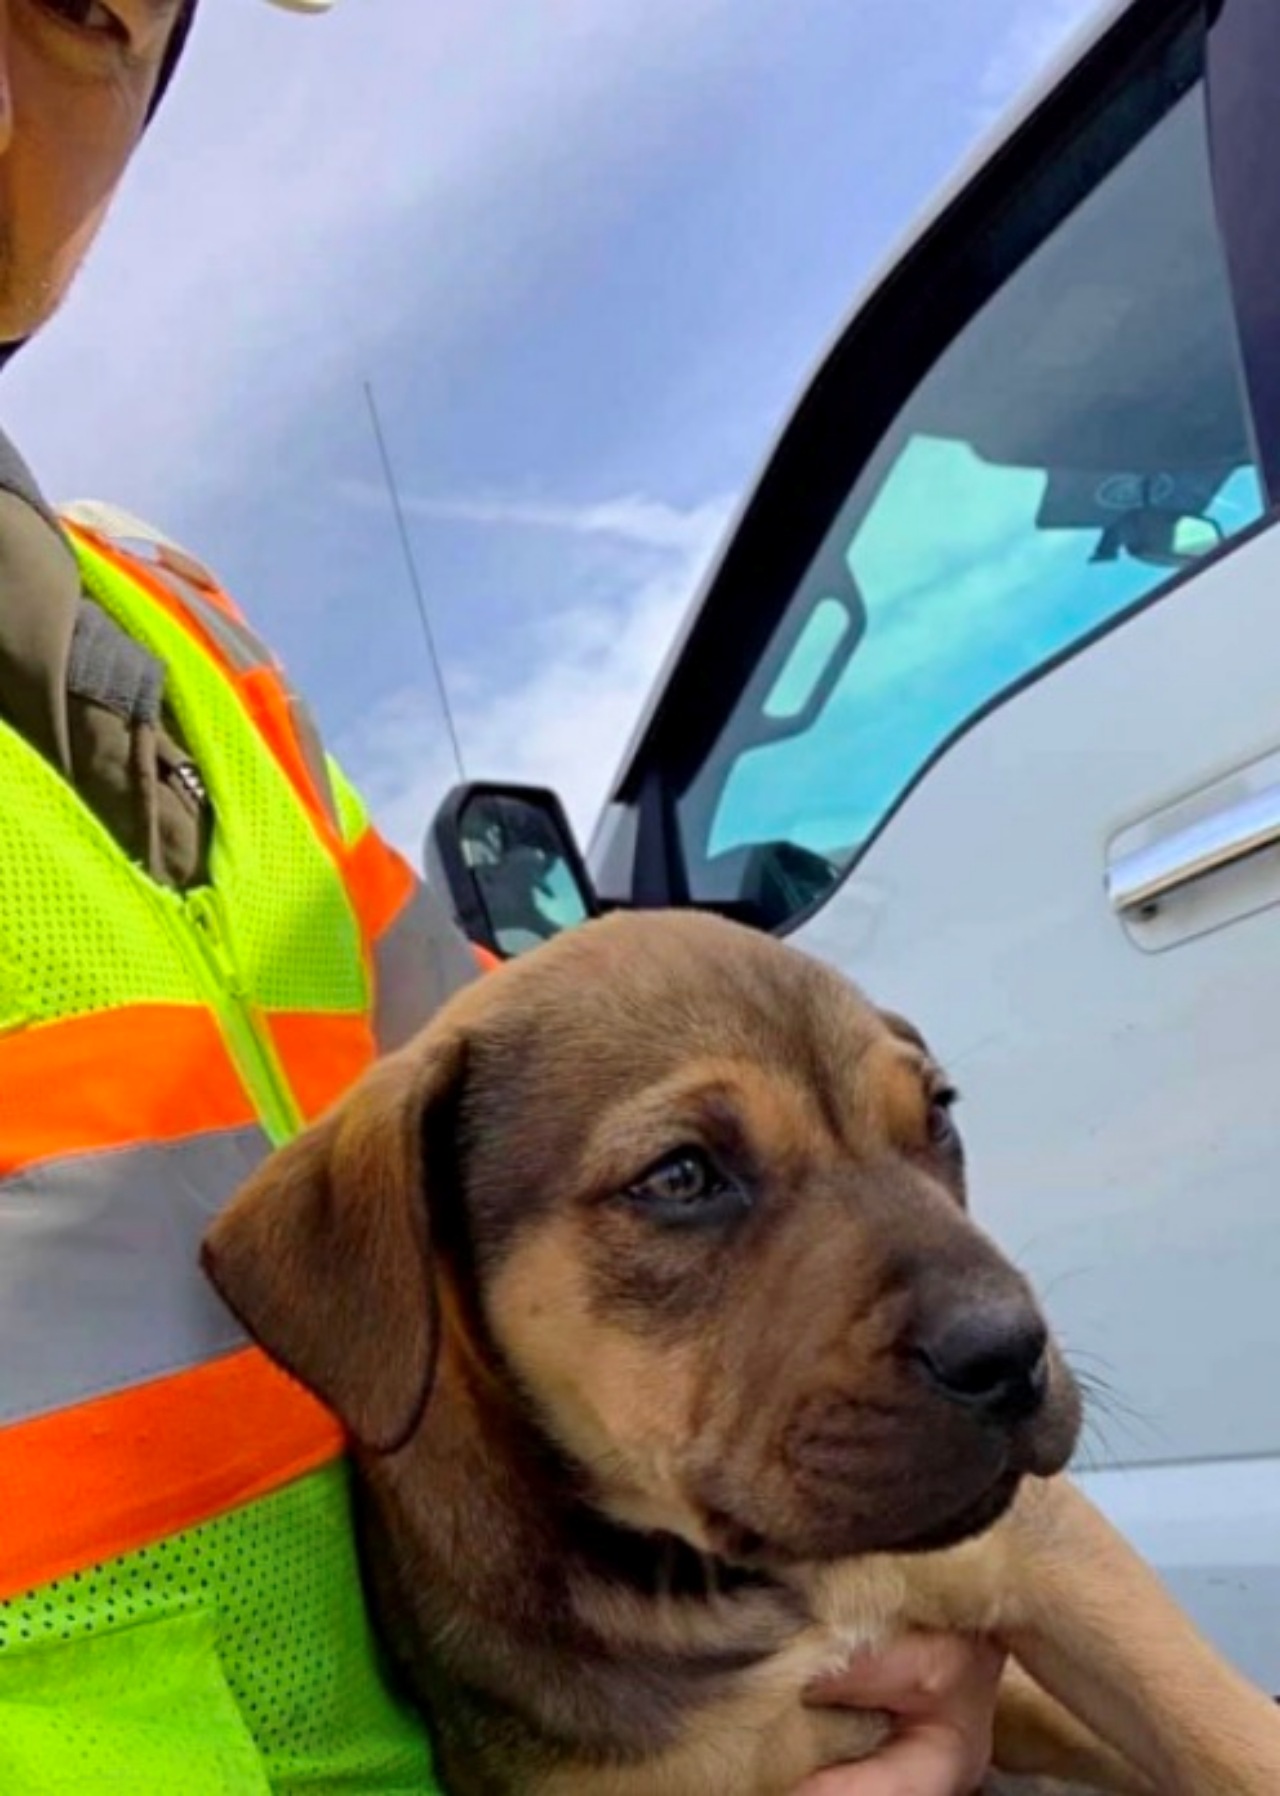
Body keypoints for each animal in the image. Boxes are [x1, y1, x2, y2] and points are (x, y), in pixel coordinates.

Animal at [199, 912, 1278, 1796]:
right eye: (680, 1176)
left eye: (936, 1115)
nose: (1010, 1355)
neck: (752, 1581)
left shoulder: (1060, 1565)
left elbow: (1227, 1734)